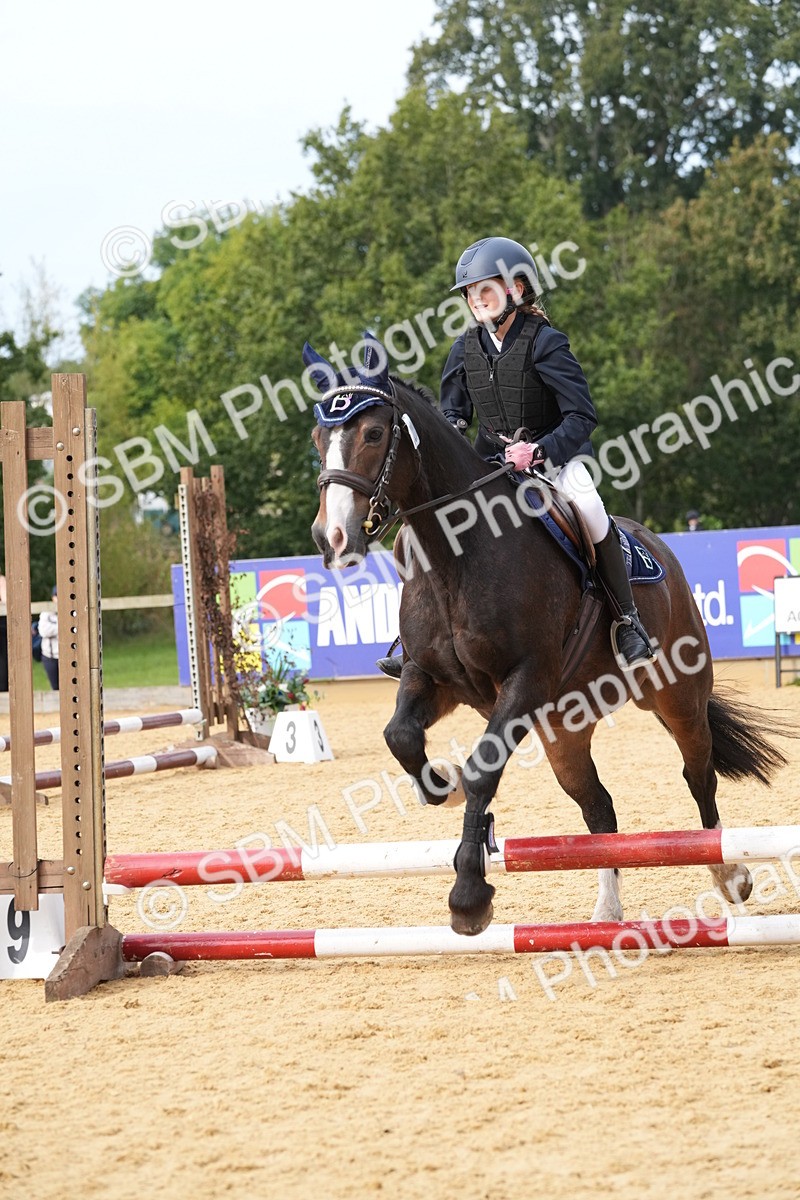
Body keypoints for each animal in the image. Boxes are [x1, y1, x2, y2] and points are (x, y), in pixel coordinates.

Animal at [306, 336, 788, 935]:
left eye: (373, 434)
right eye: (318, 439)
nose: (331, 537)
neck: (456, 556)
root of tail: (658, 546)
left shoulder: (526, 678)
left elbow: (483, 770)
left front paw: (469, 896)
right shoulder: (433, 677)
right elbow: (400, 736)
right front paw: (442, 787)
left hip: (677, 696)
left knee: (697, 773)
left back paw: (730, 875)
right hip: (564, 728)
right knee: (598, 808)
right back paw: (607, 912)